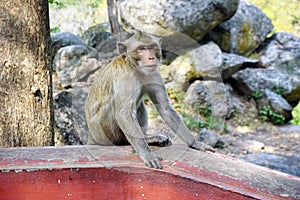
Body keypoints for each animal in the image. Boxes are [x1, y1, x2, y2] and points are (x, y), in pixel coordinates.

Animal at [85, 31, 214, 169]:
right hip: (103, 133)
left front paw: (195, 142)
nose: (151, 57)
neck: (136, 68)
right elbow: (123, 114)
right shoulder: (126, 78)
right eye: (141, 49)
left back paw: (150, 138)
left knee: (139, 104)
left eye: (152, 47)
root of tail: (91, 137)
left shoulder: (154, 74)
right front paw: (147, 154)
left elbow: (164, 108)